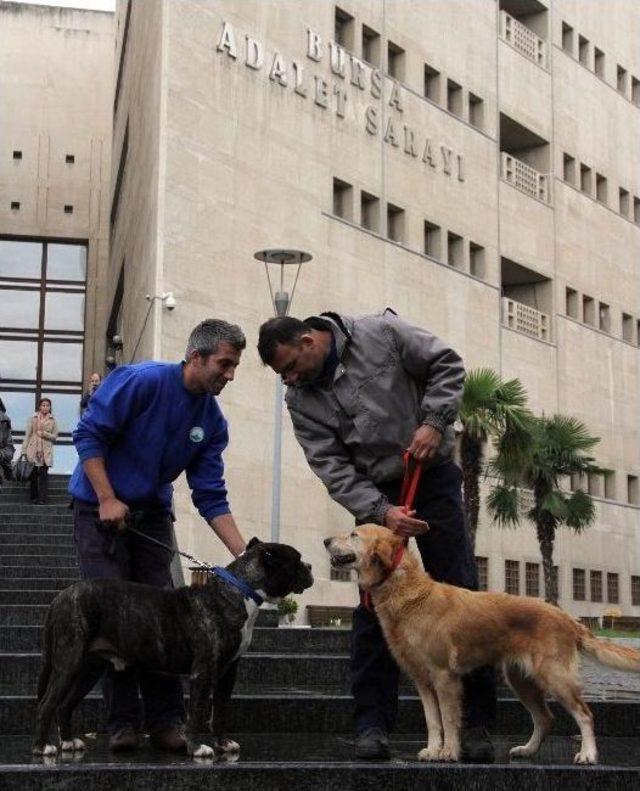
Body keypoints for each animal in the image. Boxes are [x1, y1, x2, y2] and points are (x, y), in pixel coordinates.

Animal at [324, 524, 640, 768]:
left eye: (353, 534)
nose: (325, 541)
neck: (408, 593)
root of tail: (567, 618)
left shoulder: (444, 677)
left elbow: (449, 719)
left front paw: (449, 752)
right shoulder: (422, 680)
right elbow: (433, 720)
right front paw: (433, 749)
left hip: (554, 676)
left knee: (585, 715)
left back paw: (587, 754)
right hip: (521, 680)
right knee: (545, 718)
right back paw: (527, 750)